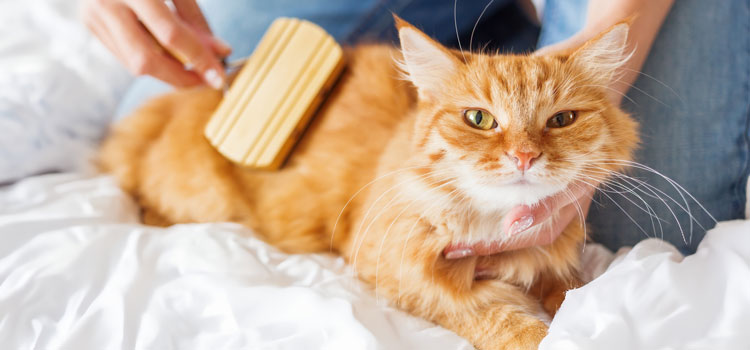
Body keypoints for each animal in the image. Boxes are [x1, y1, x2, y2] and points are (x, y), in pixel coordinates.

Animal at [101, 17, 640, 348]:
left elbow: (574, 291)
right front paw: (543, 333)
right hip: (202, 197)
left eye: (562, 120)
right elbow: (493, 315)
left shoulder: (557, 261)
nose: (524, 156)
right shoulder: (400, 272)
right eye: (479, 119)